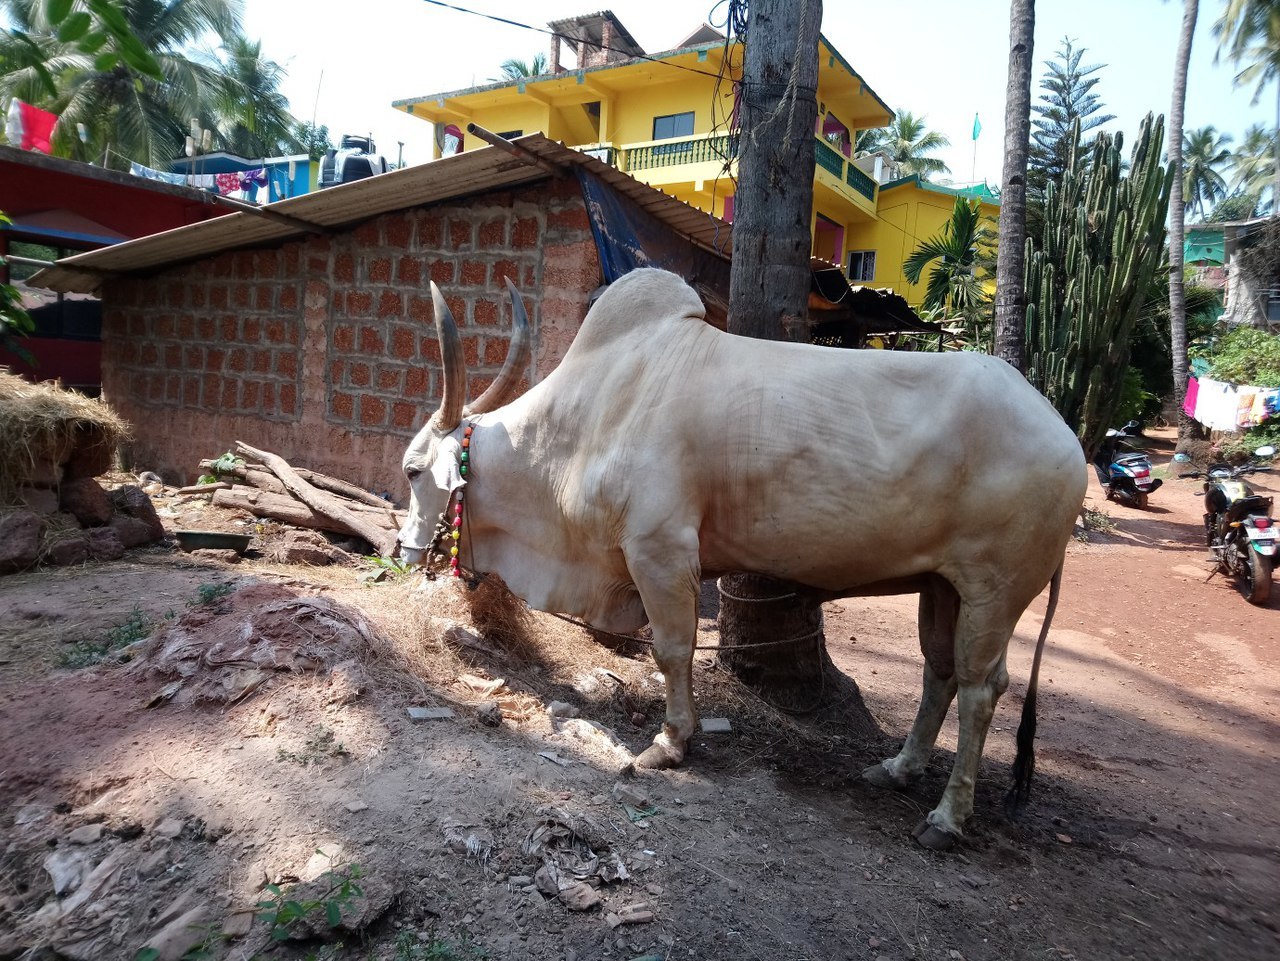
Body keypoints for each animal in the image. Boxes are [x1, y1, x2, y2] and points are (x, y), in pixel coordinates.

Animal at [396, 267, 1080, 844]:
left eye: (411, 471)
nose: (403, 551)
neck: (592, 417)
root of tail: (1061, 431)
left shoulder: (661, 552)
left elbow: (672, 651)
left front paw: (669, 743)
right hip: (942, 584)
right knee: (940, 672)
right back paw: (898, 769)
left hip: (994, 590)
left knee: (981, 687)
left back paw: (946, 816)